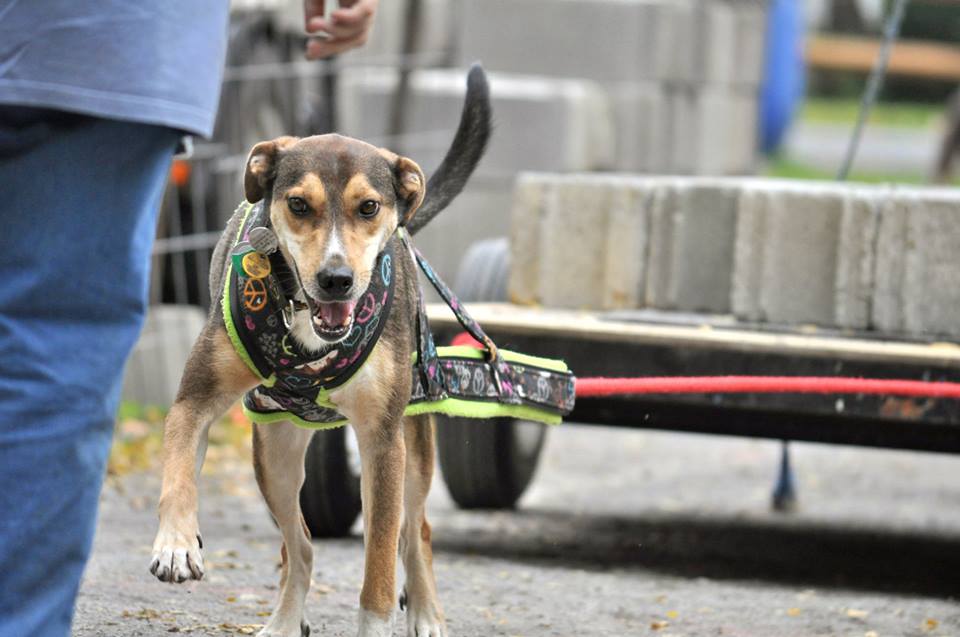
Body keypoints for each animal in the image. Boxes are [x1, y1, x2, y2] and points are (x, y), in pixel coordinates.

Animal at [150, 66, 496, 636]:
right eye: (298, 204)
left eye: (369, 207)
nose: (336, 280)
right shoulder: (193, 400)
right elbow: (177, 469)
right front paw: (177, 545)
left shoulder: (382, 441)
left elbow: (379, 566)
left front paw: (378, 624)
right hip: (274, 456)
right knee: (302, 546)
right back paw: (286, 621)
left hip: (414, 450)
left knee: (413, 531)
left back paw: (426, 613)